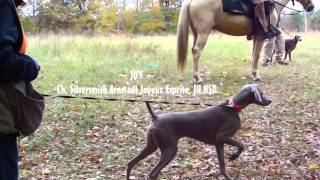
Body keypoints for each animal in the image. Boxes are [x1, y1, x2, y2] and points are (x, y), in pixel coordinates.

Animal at [126, 84, 272, 180]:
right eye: (261, 93)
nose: (269, 101)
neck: (232, 107)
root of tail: (155, 117)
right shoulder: (222, 137)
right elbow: (242, 145)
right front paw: (234, 156)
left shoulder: (219, 144)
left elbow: (222, 167)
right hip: (170, 149)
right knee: (152, 173)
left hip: (152, 146)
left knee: (131, 163)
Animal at [178, 0, 316, 83]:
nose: (312, 7)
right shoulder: (261, 37)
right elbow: (257, 55)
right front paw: (256, 75)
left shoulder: (256, 37)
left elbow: (254, 54)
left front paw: (252, 74)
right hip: (203, 33)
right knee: (197, 51)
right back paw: (197, 78)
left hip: (196, 34)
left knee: (193, 50)